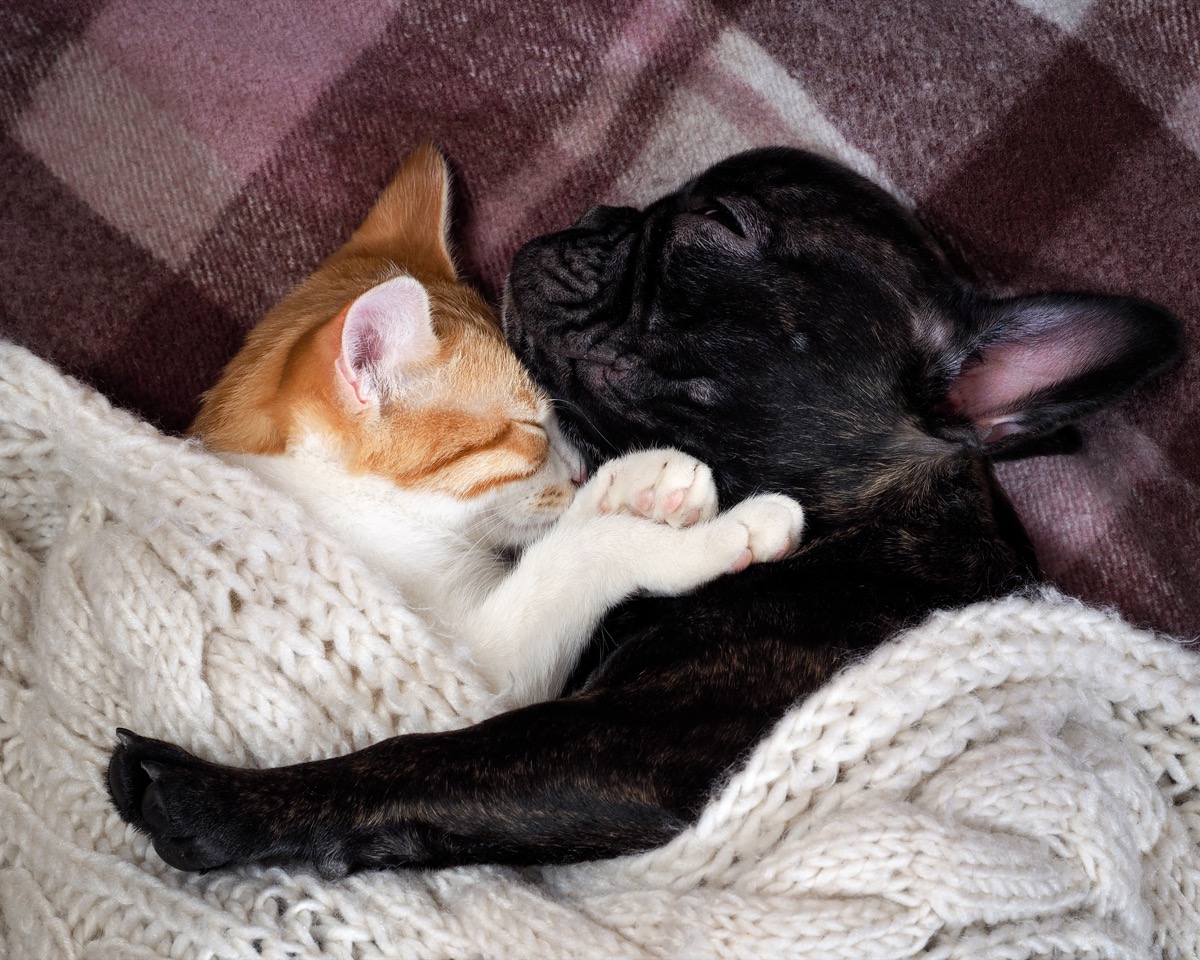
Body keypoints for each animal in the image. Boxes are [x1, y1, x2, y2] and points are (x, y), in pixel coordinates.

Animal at [189, 146, 806, 710]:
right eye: (530, 428)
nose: (579, 468)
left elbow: (562, 538)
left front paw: (641, 483)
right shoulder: (477, 667)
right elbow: (579, 554)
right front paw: (723, 534)